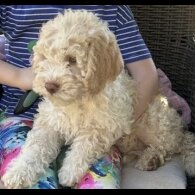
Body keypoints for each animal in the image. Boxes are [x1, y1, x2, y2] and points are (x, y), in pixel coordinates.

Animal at [2, 9, 195, 189]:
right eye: (45, 58)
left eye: (72, 59)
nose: (49, 86)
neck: (77, 100)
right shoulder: (49, 123)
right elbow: (35, 147)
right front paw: (17, 172)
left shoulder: (108, 124)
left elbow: (86, 143)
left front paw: (69, 171)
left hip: (152, 121)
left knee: (175, 143)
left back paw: (152, 158)